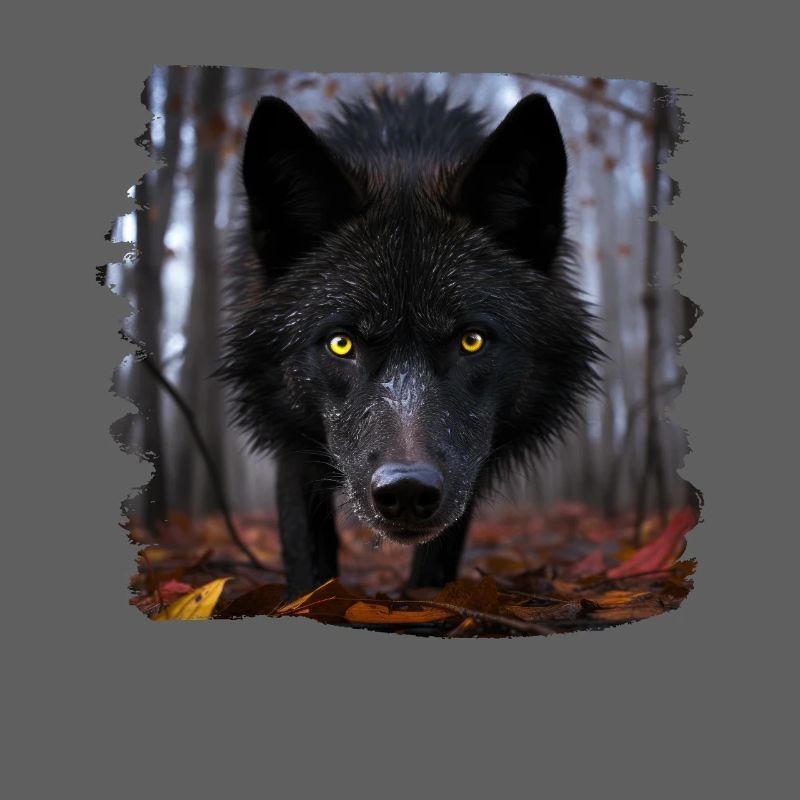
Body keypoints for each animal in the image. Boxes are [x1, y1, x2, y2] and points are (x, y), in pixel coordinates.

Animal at [219, 86, 600, 597]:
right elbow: (306, 550)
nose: (406, 489)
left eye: (472, 341)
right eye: (341, 344)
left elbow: (440, 552)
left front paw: (427, 602)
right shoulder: (293, 442)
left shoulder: (468, 463)